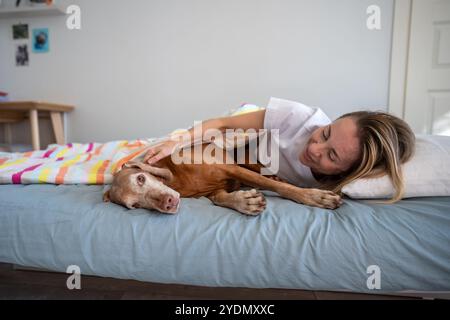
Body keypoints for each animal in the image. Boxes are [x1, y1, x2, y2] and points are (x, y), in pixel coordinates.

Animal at [103, 142, 342, 215]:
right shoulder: (214, 190)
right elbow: (220, 199)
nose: (168, 204)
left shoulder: (231, 169)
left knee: (270, 176)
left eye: (141, 178)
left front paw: (313, 197)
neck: (178, 180)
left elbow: (274, 186)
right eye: (135, 205)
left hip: (246, 161)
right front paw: (244, 201)